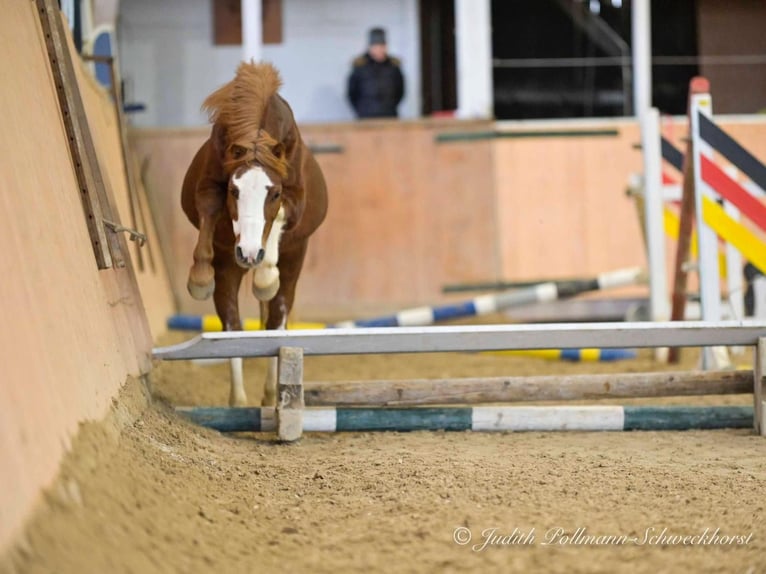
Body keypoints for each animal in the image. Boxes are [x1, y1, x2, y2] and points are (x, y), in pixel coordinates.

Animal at [181, 61, 328, 407]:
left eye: (273, 193)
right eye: (234, 190)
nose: (248, 253)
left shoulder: (294, 197)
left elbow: (282, 216)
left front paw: (265, 276)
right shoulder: (210, 187)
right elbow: (208, 213)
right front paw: (199, 279)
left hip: (295, 260)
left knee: (275, 321)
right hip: (229, 268)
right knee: (232, 325)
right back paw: (238, 401)